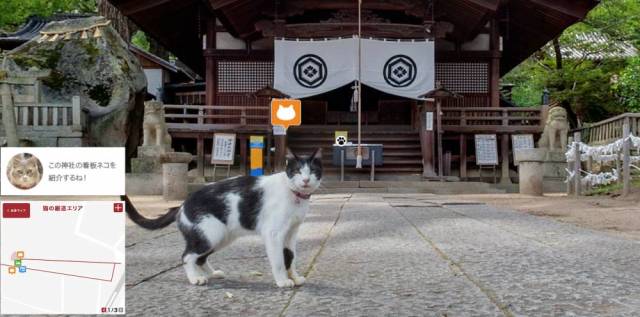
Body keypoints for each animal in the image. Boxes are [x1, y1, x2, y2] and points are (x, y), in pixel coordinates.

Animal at [124, 147, 322, 288]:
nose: (305, 180)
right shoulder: (274, 234)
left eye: (312, 171)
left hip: (220, 237)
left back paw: (211, 274)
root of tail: (182, 205)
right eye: (297, 171)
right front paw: (282, 281)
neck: (295, 196)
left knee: (200, 258)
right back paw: (195, 279)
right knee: (187, 256)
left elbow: (291, 257)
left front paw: (295, 277)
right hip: (210, 235)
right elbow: (279, 260)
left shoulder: (291, 233)